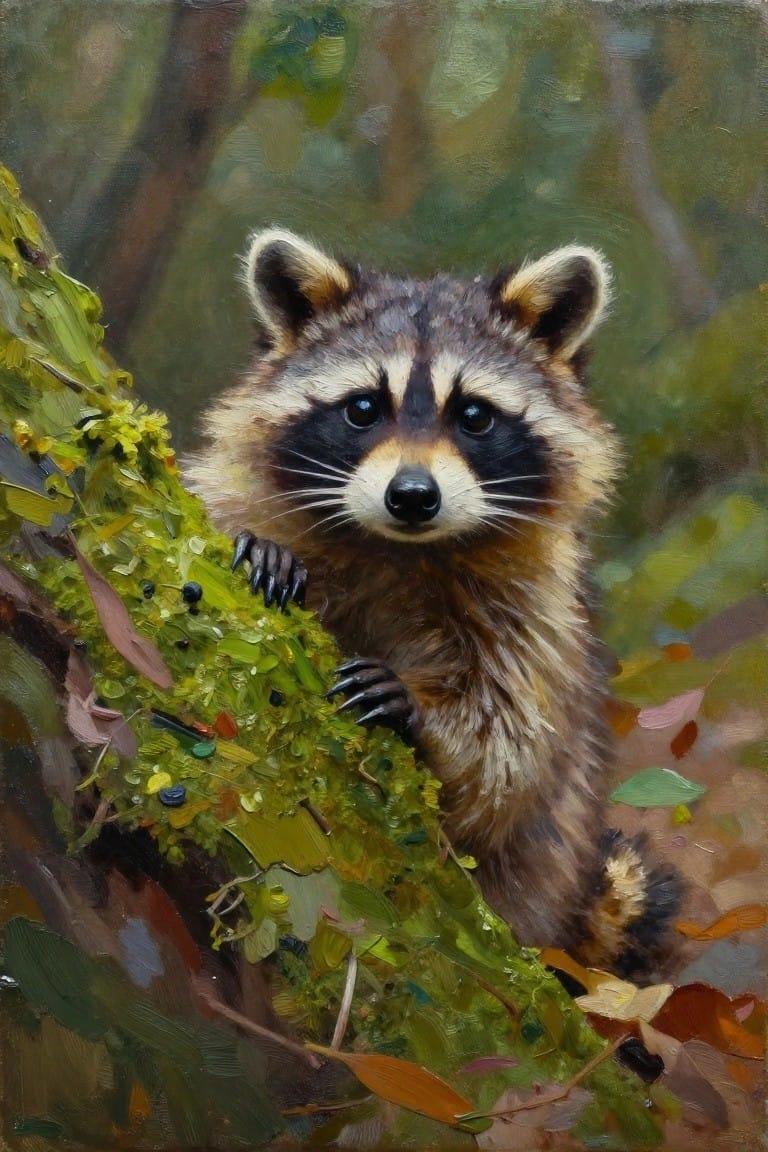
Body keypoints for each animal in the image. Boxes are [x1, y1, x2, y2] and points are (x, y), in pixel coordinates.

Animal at [186, 230, 681, 977]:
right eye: (364, 407)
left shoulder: (540, 599)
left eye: (473, 415)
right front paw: (268, 552)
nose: (413, 496)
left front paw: (420, 706)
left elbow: (509, 742)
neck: (396, 546)